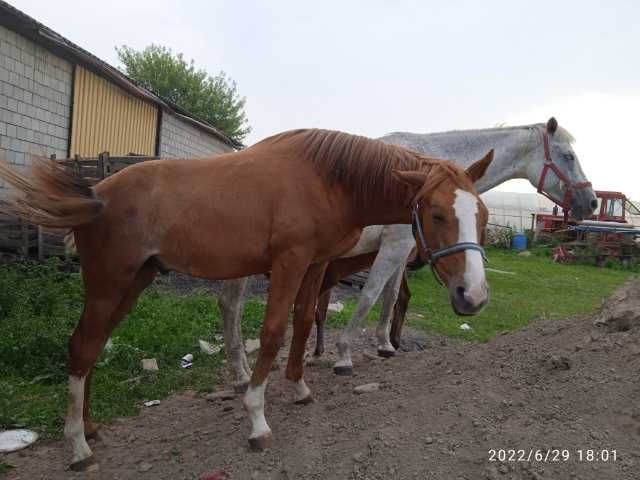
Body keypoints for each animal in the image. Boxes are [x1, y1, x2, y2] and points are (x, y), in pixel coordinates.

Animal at [0, 128, 490, 468]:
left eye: (482, 215)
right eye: (437, 213)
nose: (473, 296)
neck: (328, 180)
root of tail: (96, 193)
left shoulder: (315, 265)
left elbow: (303, 322)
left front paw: (299, 387)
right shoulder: (289, 262)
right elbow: (273, 333)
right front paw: (257, 418)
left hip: (134, 281)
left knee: (94, 345)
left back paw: (90, 428)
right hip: (110, 281)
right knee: (82, 346)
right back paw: (78, 446)